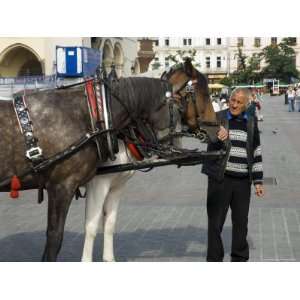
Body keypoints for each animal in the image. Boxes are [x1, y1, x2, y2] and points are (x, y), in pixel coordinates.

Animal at [0, 77, 178, 260]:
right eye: (176, 106)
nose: (176, 146)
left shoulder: (116, 185)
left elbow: (108, 223)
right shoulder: (65, 186)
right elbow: (57, 236)